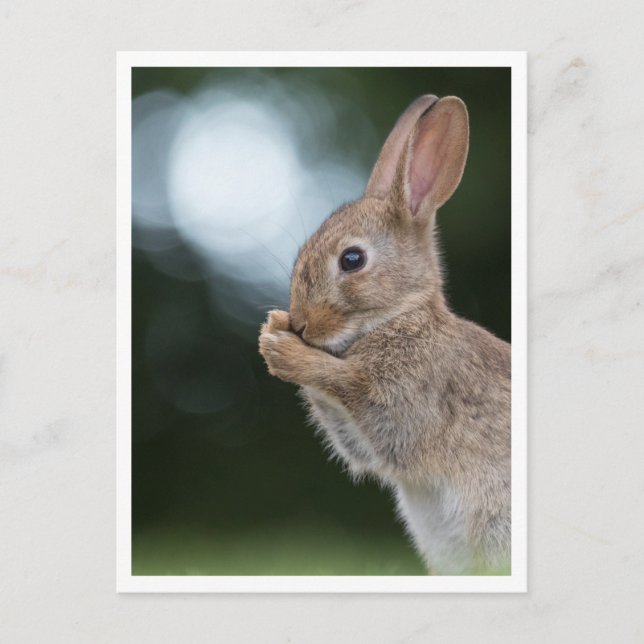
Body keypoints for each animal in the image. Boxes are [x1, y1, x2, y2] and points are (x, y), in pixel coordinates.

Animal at [259, 94, 511, 575]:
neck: (400, 316)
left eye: (352, 259)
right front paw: (273, 330)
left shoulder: (409, 402)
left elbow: (355, 392)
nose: (301, 323)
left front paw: (283, 350)